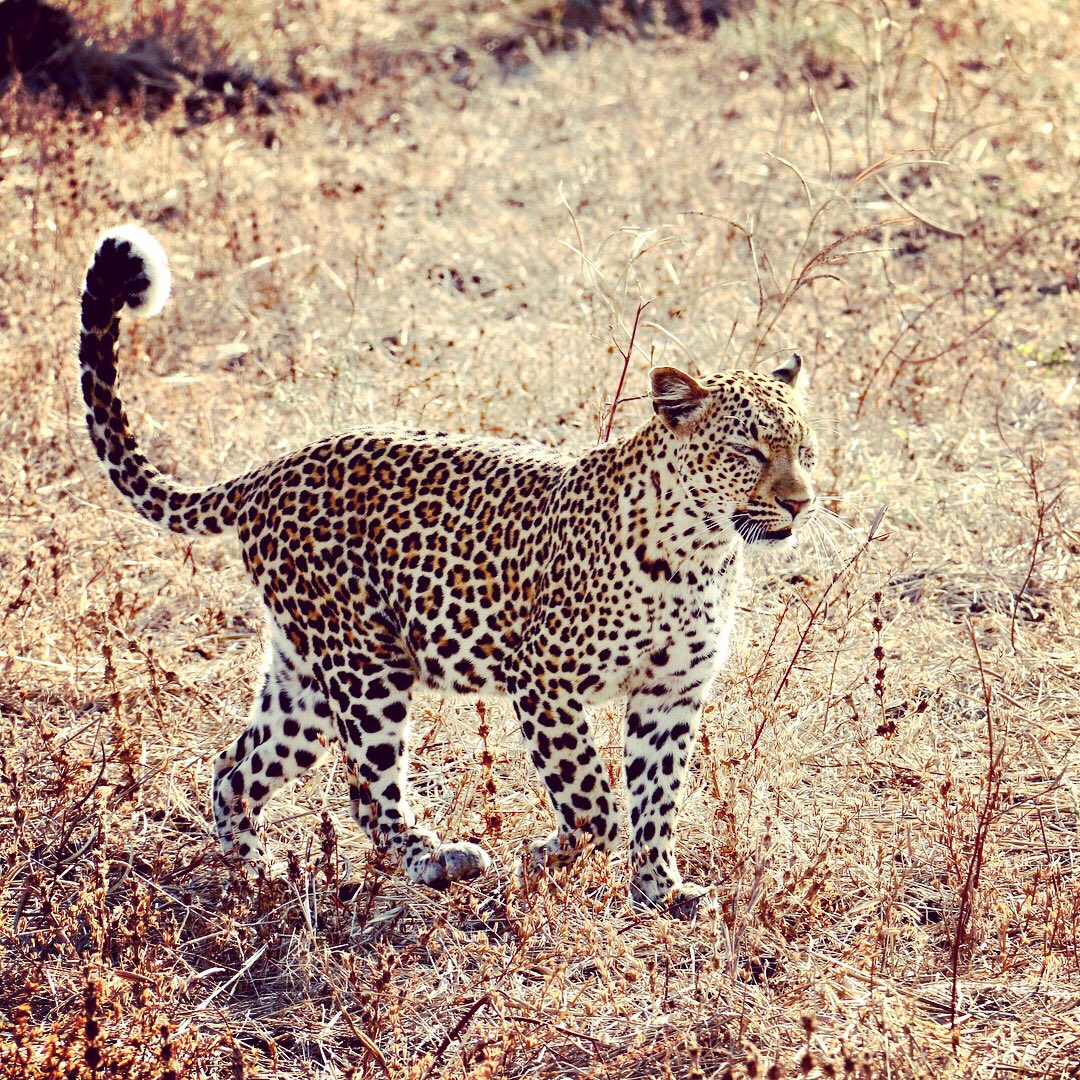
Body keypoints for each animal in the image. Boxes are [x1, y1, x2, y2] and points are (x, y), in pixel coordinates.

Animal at [77, 225, 817, 911]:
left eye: (805, 448)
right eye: (749, 451)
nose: (801, 502)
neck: (703, 553)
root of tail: (270, 471)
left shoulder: (671, 695)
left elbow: (657, 800)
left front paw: (661, 891)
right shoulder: (542, 679)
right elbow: (593, 802)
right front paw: (546, 857)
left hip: (306, 674)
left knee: (235, 766)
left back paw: (256, 874)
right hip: (367, 667)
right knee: (367, 791)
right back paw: (435, 860)